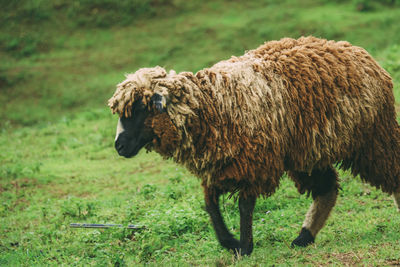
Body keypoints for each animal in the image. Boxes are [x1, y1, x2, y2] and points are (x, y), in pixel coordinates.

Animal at [107, 36, 400, 256]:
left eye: (141, 109)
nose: (119, 146)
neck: (212, 105)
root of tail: (356, 50)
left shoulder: (254, 161)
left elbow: (245, 205)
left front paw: (245, 246)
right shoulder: (220, 164)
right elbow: (210, 204)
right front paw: (229, 242)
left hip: (371, 139)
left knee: (390, 169)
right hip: (307, 151)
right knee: (326, 188)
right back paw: (304, 237)